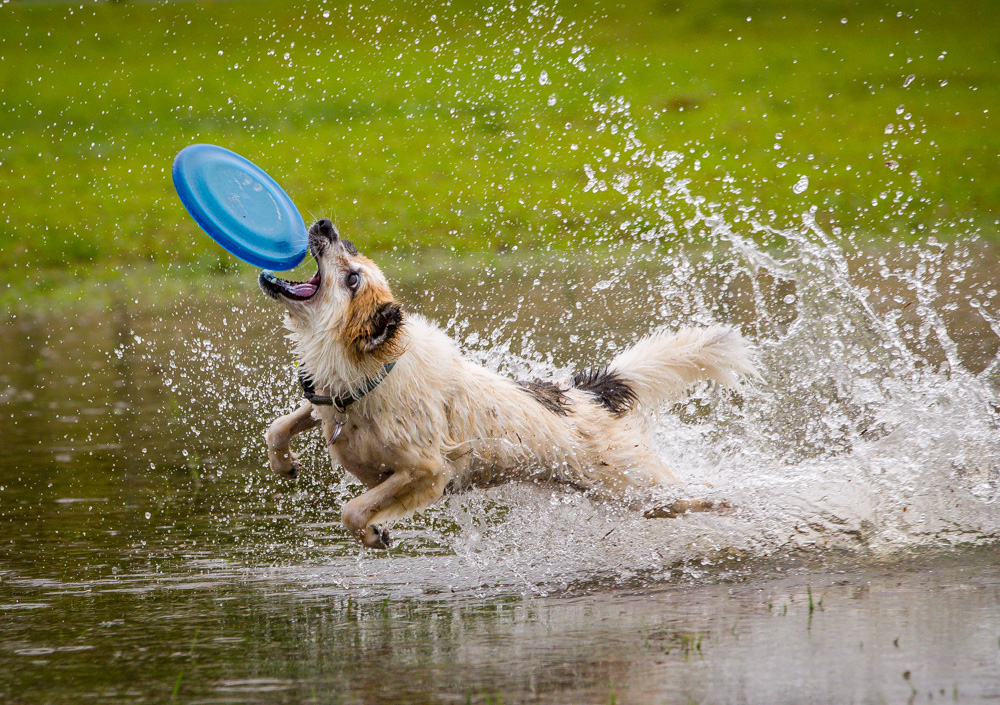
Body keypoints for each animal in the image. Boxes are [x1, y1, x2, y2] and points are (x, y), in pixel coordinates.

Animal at [258, 217, 756, 548]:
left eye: (352, 277)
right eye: (352, 253)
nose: (326, 224)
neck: (372, 376)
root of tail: (587, 395)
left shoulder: (427, 471)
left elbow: (352, 508)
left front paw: (374, 532)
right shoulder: (324, 401)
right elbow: (278, 427)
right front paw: (285, 465)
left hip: (637, 485)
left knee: (688, 495)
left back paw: (735, 503)